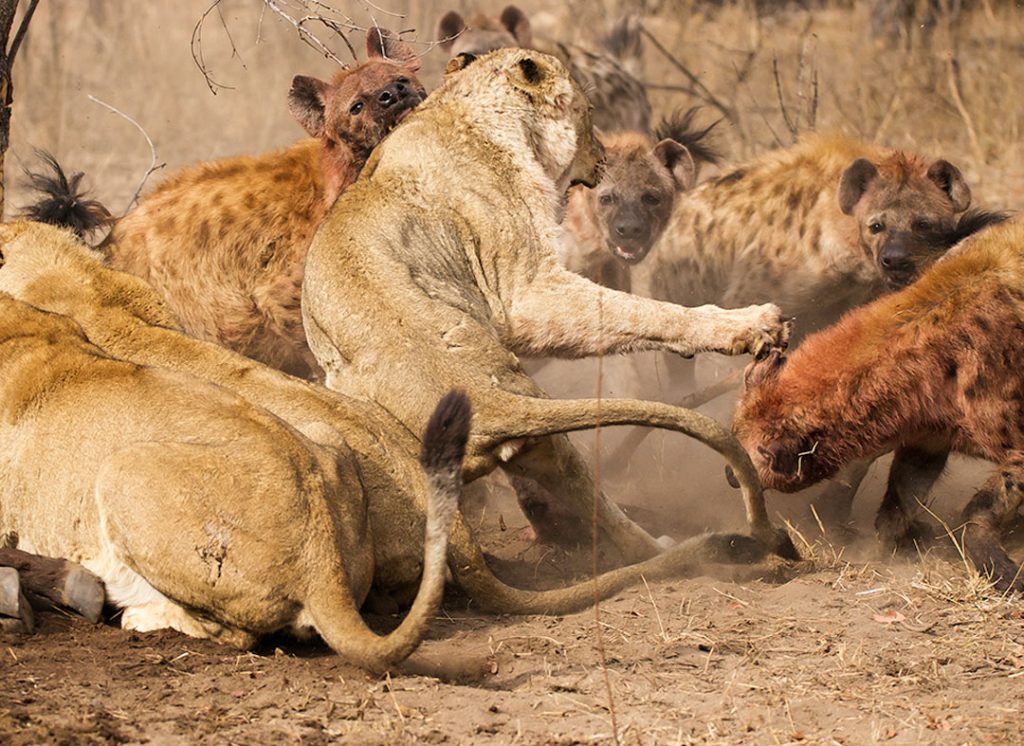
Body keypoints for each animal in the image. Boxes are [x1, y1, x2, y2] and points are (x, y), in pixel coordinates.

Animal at [299, 48, 793, 562]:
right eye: (589, 112)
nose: (602, 157)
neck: (461, 111)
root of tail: (489, 401)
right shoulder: (525, 291)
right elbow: (641, 310)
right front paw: (749, 324)